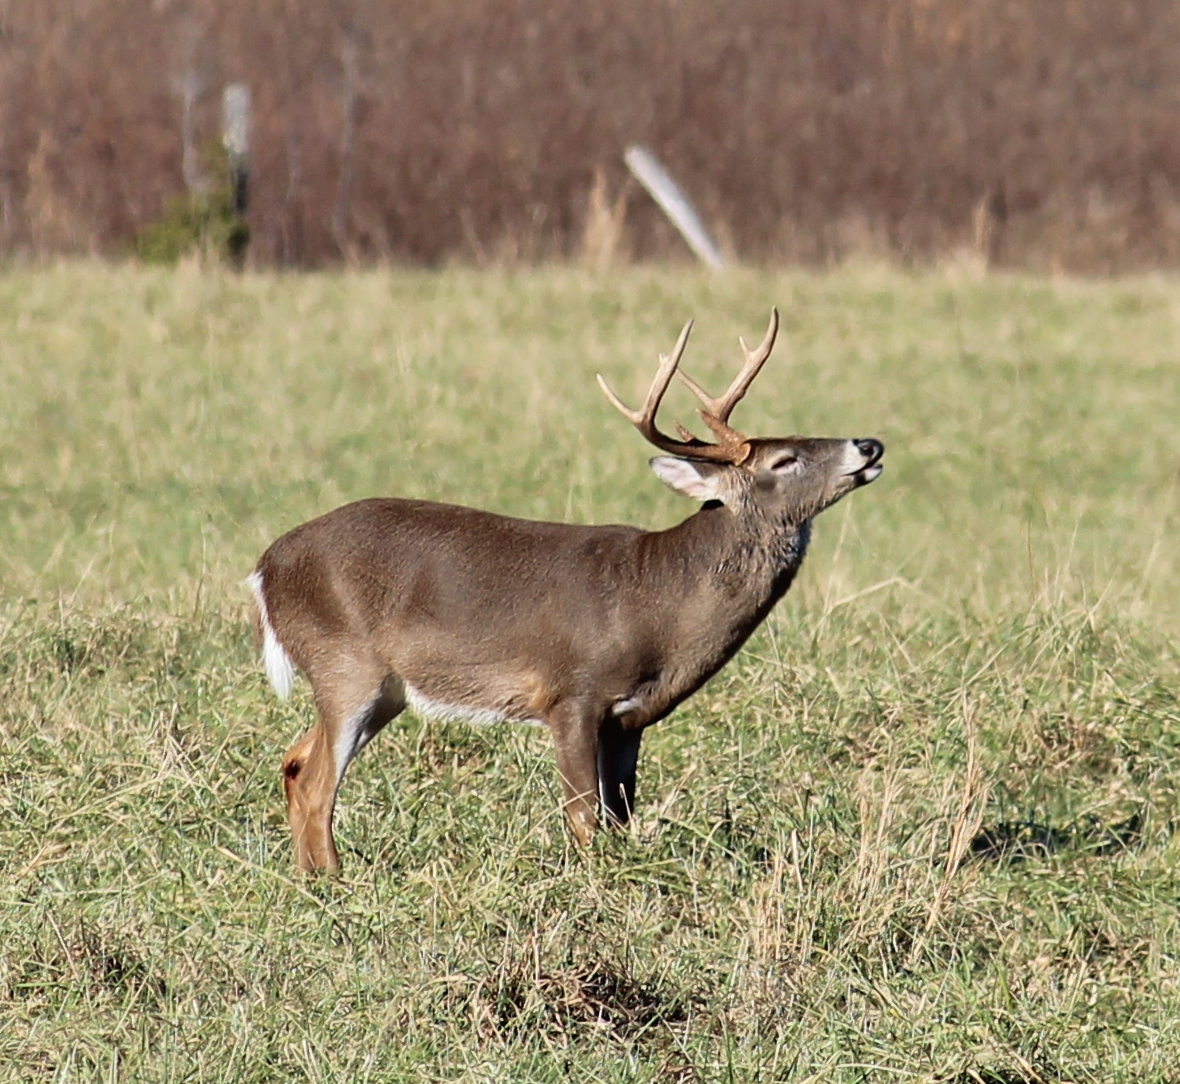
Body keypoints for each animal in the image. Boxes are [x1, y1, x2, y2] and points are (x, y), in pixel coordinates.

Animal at [247, 310, 884, 872]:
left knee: (294, 761)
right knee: (317, 783)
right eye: (785, 458)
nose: (870, 444)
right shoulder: (572, 693)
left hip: (385, 688)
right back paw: (335, 882)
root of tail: (265, 568)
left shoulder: (629, 719)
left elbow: (621, 816)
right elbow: (584, 816)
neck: (658, 601)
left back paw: (309, 877)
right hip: (344, 663)